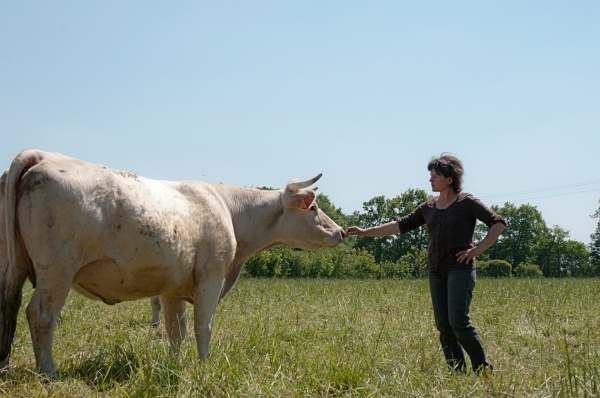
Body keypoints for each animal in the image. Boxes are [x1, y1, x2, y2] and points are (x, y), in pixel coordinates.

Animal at [0, 149, 344, 380]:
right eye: (313, 207)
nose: (341, 231)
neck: (229, 209)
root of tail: (42, 155)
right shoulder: (211, 277)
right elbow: (203, 326)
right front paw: (205, 366)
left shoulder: (172, 288)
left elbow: (175, 330)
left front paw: (174, 365)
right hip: (56, 270)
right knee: (40, 315)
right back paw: (48, 373)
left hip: (11, 267)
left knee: (8, 310)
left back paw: (4, 367)